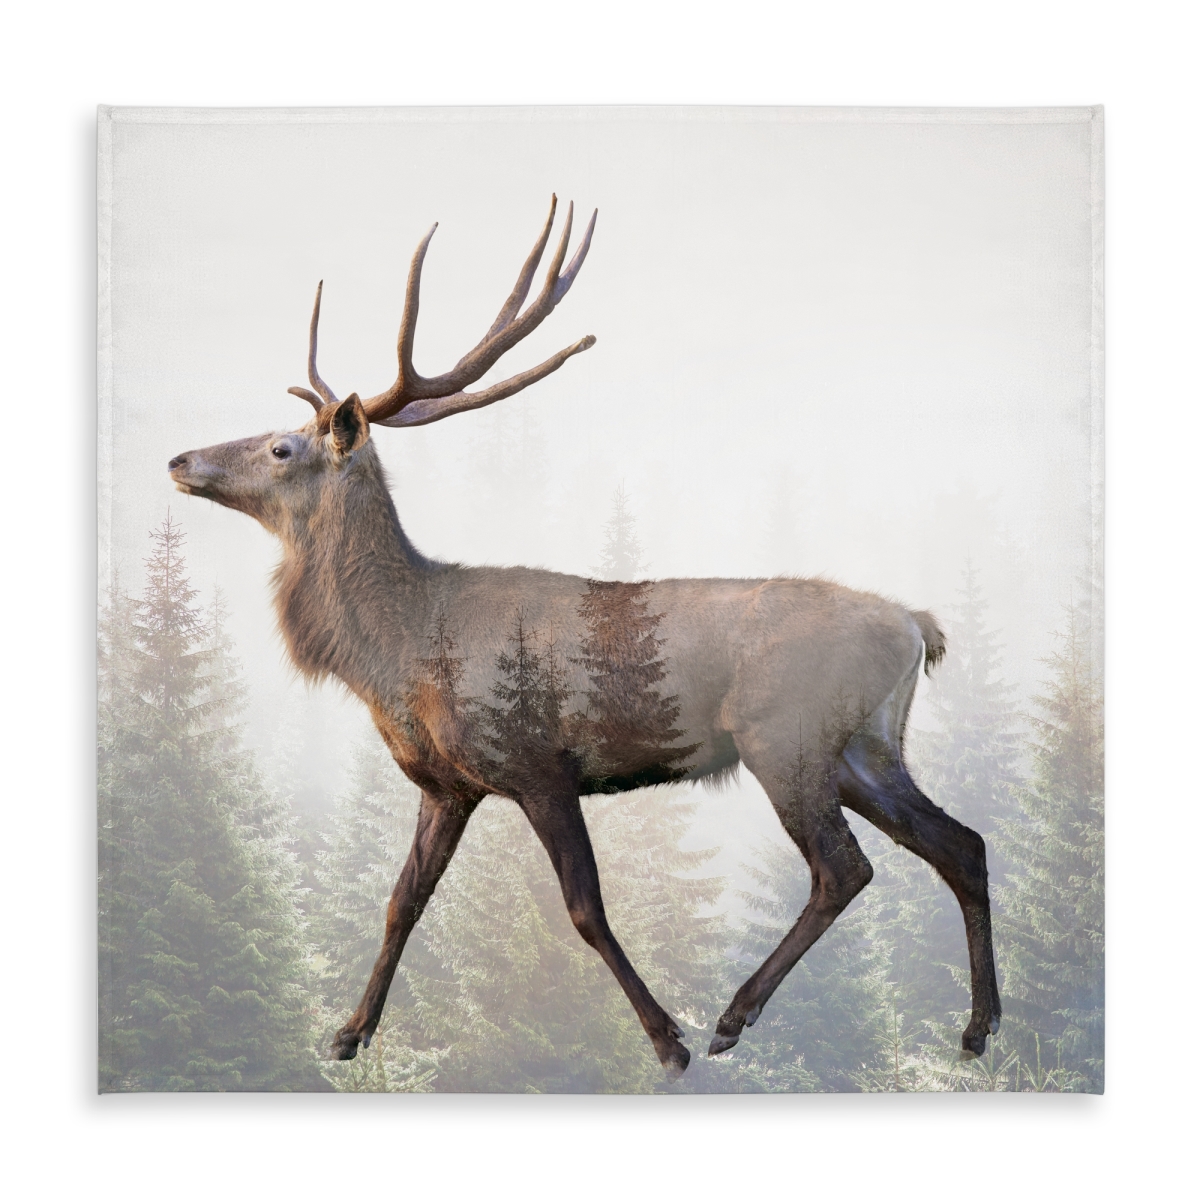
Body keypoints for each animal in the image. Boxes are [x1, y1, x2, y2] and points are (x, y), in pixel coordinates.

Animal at [167, 196, 1001, 1077]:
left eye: (280, 446)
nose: (180, 459)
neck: (402, 653)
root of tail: (917, 625)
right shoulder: (448, 784)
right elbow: (401, 903)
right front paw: (348, 1032)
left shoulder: (538, 761)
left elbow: (584, 908)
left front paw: (666, 1039)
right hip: (865, 746)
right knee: (961, 844)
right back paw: (978, 1028)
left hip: (788, 735)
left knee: (845, 868)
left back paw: (733, 1016)